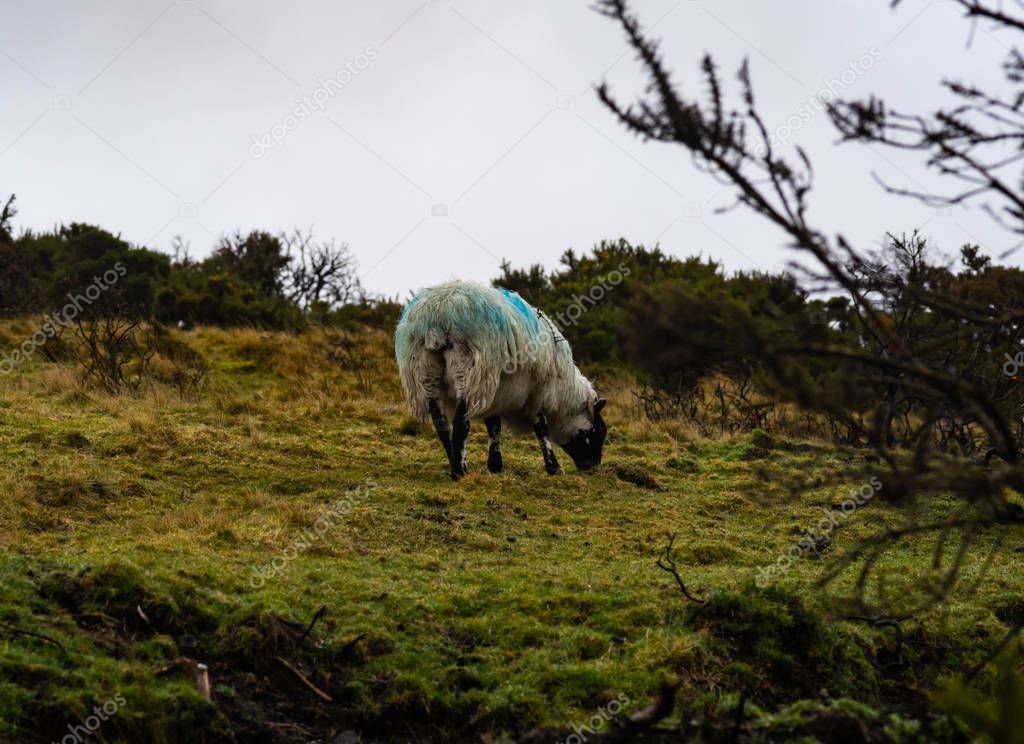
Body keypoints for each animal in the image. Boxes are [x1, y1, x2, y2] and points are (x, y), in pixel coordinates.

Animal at [393, 280, 606, 483]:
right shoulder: (539, 393)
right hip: (469, 369)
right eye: (600, 431)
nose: (593, 468)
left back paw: (454, 464)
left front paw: (496, 466)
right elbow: (541, 429)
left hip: (424, 369)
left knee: (441, 423)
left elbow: (494, 426)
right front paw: (554, 467)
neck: (564, 397)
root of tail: (437, 314)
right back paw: (460, 472)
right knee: (461, 421)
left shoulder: (497, 394)